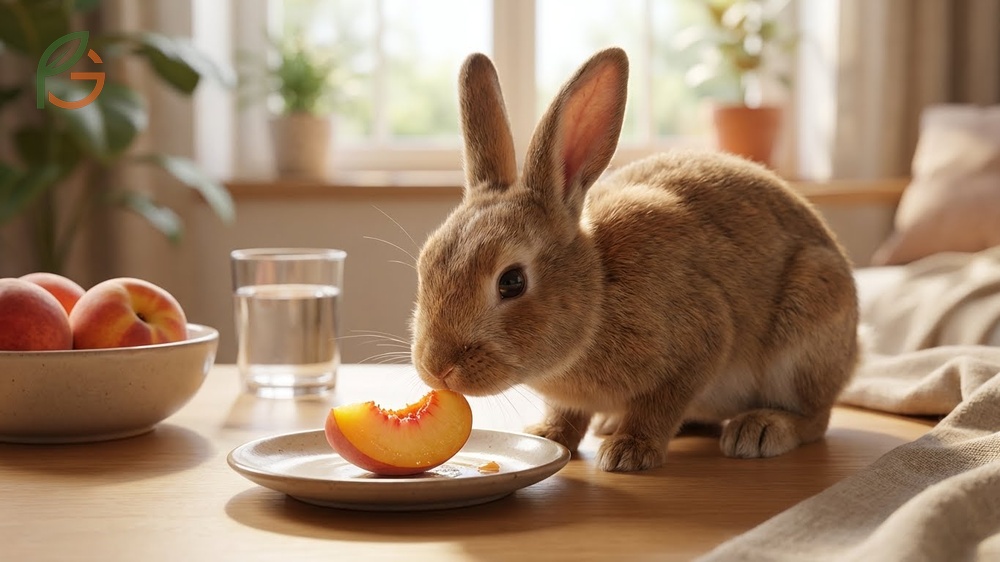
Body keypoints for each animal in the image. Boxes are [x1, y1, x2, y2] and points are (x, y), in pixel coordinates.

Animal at [410, 47, 859, 472]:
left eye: (512, 282)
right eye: (425, 263)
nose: (436, 367)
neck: (599, 291)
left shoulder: (700, 343)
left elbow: (659, 406)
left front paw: (630, 451)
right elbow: (567, 413)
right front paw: (548, 435)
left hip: (807, 328)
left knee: (815, 418)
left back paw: (760, 429)